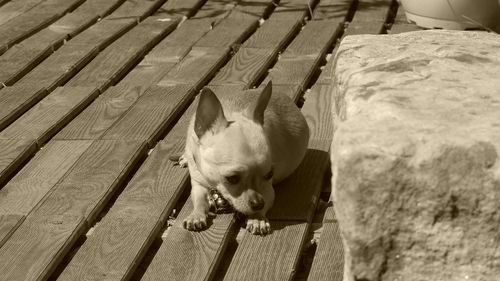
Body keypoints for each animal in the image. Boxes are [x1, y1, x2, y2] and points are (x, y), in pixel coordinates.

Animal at [178, 80, 306, 234]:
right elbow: (199, 200)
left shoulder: (268, 190)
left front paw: (257, 218)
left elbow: (266, 197)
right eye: (232, 179)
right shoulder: (198, 183)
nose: (258, 203)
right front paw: (196, 215)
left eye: (269, 175)